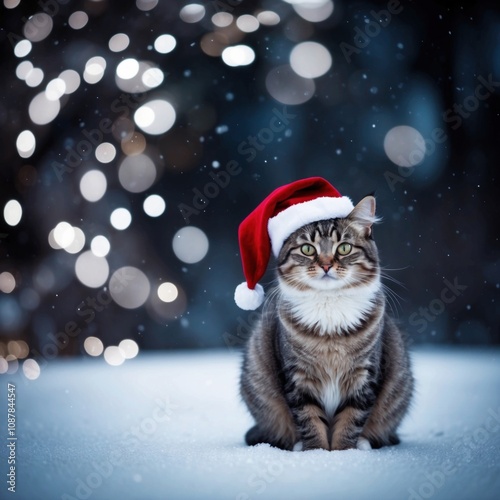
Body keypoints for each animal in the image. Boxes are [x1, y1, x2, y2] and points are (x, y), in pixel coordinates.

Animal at [240, 196, 412, 454]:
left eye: (344, 248)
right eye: (308, 249)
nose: (326, 265)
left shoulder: (364, 376)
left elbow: (350, 422)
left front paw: (343, 453)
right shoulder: (298, 378)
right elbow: (309, 420)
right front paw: (316, 453)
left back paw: (364, 444)